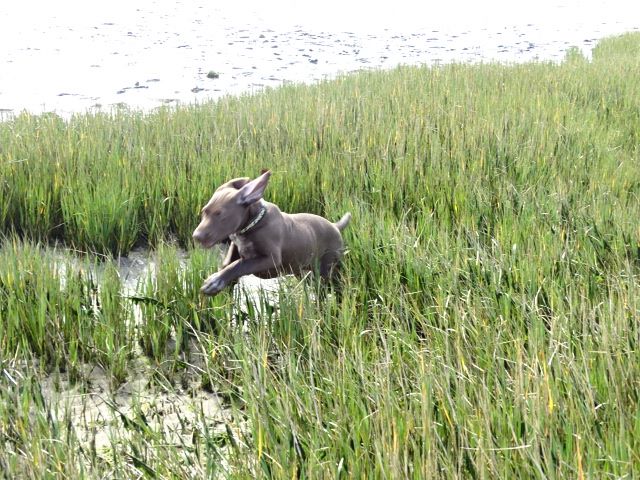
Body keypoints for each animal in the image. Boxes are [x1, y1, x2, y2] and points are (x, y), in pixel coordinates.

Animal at [192, 169, 352, 296]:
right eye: (204, 211)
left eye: (220, 215)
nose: (196, 237)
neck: (251, 225)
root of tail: (335, 226)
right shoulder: (235, 246)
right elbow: (228, 263)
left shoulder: (270, 259)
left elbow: (239, 264)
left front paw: (215, 282)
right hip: (301, 269)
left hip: (327, 268)